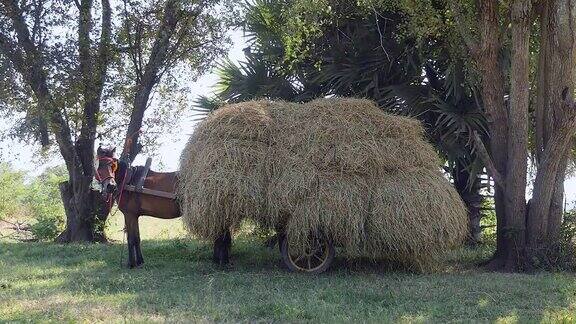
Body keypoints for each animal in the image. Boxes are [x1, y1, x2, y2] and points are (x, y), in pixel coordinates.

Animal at [93, 147, 231, 268]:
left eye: (113, 165)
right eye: (100, 165)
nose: (110, 186)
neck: (129, 179)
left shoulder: (129, 214)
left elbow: (131, 239)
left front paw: (131, 264)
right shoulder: (135, 215)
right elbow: (137, 238)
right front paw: (140, 262)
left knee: (222, 236)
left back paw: (222, 261)